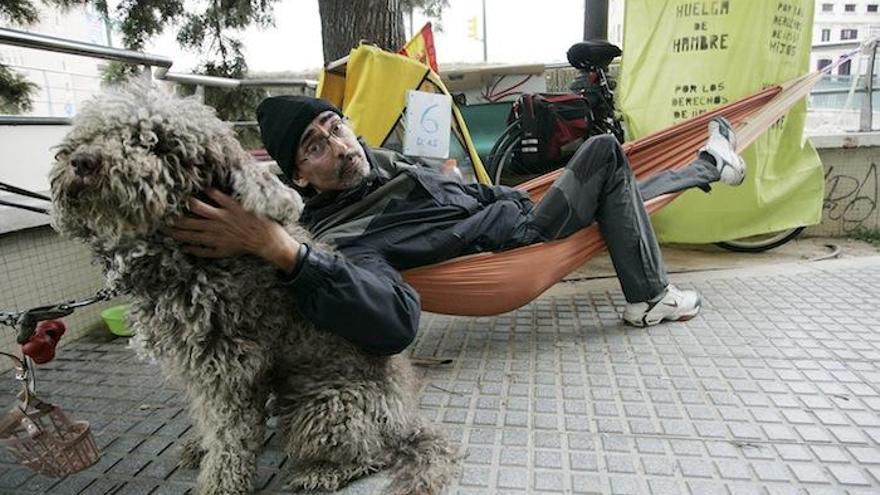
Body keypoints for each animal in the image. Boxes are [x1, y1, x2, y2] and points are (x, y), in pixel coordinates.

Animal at [49, 85, 460, 495]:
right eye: (95, 133)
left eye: (158, 144)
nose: (82, 162)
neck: (184, 257)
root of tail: (408, 423)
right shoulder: (201, 369)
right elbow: (209, 420)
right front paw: (202, 447)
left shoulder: (228, 369)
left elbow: (229, 434)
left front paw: (221, 482)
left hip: (324, 405)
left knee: (371, 453)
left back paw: (321, 472)